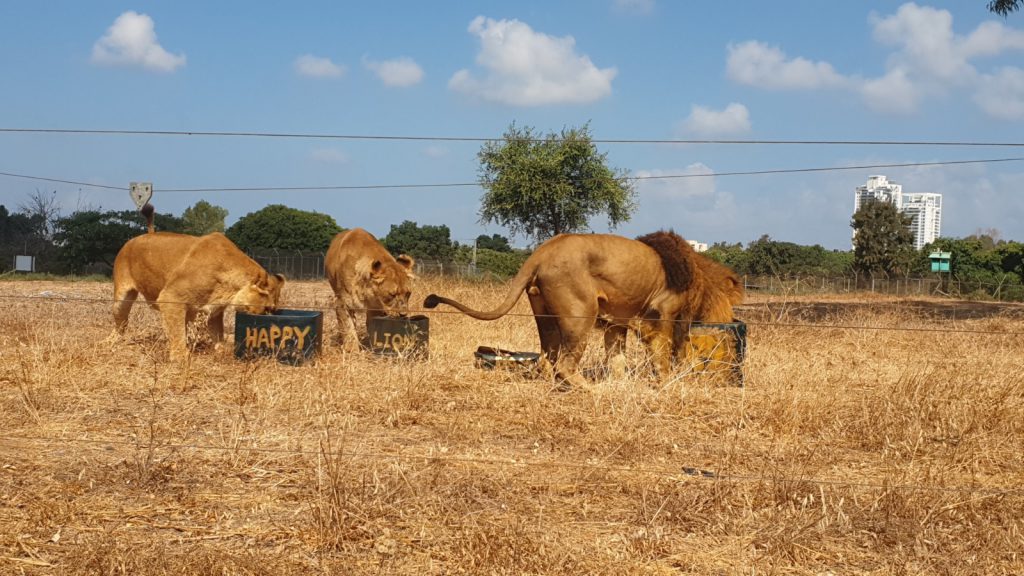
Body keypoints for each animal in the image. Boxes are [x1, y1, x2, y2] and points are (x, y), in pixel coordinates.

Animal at [113, 224, 284, 358]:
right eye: (267, 309)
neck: (230, 288)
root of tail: (131, 240)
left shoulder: (214, 312)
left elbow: (217, 333)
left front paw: (221, 351)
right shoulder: (171, 297)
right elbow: (177, 333)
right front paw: (180, 357)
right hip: (121, 297)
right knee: (121, 321)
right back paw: (114, 342)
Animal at [423, 230, 745, 387]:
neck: (700, 284)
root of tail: (542, 251)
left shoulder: (617, 322)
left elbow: (617, 357)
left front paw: (621, 384)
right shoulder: (661, 316)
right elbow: (662, 355)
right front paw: (665, 383)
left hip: (544, 315)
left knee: (548, 358)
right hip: (581, 314)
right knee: (565, 364)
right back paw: (590, 389)